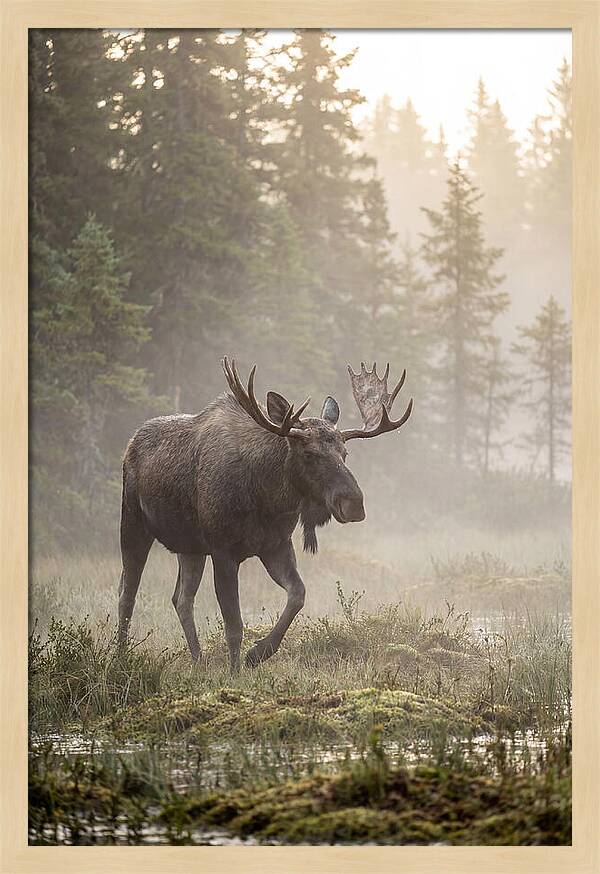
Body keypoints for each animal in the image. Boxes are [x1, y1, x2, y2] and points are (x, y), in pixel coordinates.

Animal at [118, 358, 413, 671]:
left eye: (345, 454)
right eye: (309, 453)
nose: (354, 503)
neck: (267, 498)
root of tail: (131, 443)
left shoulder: (276, 545)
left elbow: (297, 595)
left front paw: (258, 653)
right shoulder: (223, 551)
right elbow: (234, 624)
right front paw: (235, 672)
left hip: (190, 547)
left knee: (181, 599)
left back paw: (197, 660)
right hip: (133, 523)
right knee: (127, 593)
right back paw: (120, 656)